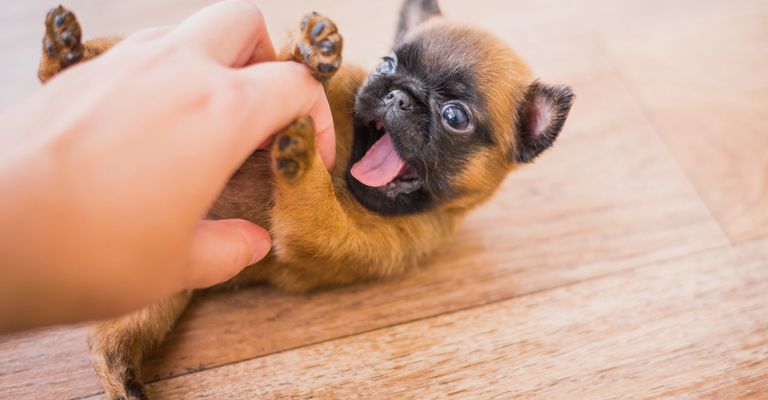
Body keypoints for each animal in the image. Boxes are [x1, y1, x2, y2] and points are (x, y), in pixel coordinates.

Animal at [39, 1, 572, 398]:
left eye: (455, 116)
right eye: (388, 64)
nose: (400, 95)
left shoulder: (333, 241)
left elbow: (310, 200)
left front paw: (301, 151)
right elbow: (287, 67)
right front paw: (311, 52)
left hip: (153, 298)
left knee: (110, 348)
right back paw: (64, 50)